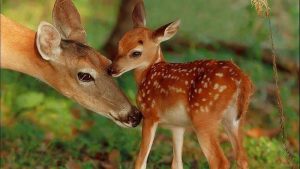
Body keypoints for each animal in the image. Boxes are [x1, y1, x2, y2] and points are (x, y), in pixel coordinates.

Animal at [108, 1, 253, 169]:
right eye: (120, 43)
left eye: (136, 53)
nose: (112, 69)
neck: (148, 74)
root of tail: (241, 79)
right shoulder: (177, 125)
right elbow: (177, 162)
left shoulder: (150, 114)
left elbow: (141, 160)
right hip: (236, 119)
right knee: (242, 158)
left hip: (204, 117)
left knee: (220, 161)